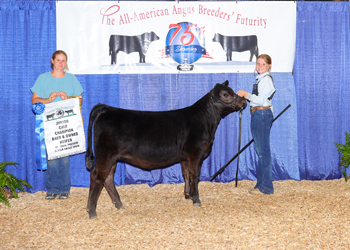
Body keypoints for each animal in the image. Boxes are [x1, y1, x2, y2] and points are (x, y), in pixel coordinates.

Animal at [86, 80, 247, 219]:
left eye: (233, 91)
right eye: (225, 94)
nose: (244, 101)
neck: (207, 122)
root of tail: (107, 109)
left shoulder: (185, 157)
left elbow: (186, 174)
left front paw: (187, 195)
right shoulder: (196, 154)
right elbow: (195, 176)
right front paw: (196, 200)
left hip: (112, 158)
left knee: (108, 178)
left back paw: (119, 204)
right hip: (105, 155)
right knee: (97, 177)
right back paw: (92, 211)